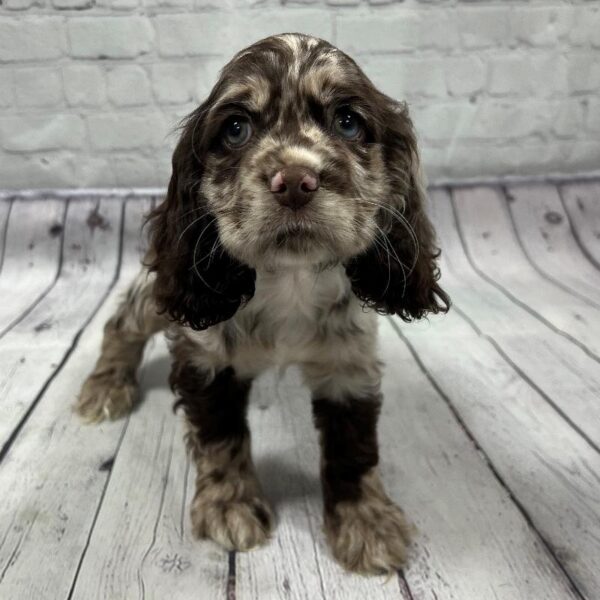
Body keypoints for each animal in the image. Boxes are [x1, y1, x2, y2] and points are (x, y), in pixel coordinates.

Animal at [76, 34, 450, 576]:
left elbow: (354, 445)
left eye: (348, 121)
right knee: (122, 319)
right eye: (236, 128)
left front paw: (367, 524)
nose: (294, 180)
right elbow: (221, 436)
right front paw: (230, 506)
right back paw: (106, 385)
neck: (289, 279)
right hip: (162, 294)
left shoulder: (349, 364)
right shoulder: (206, 357)